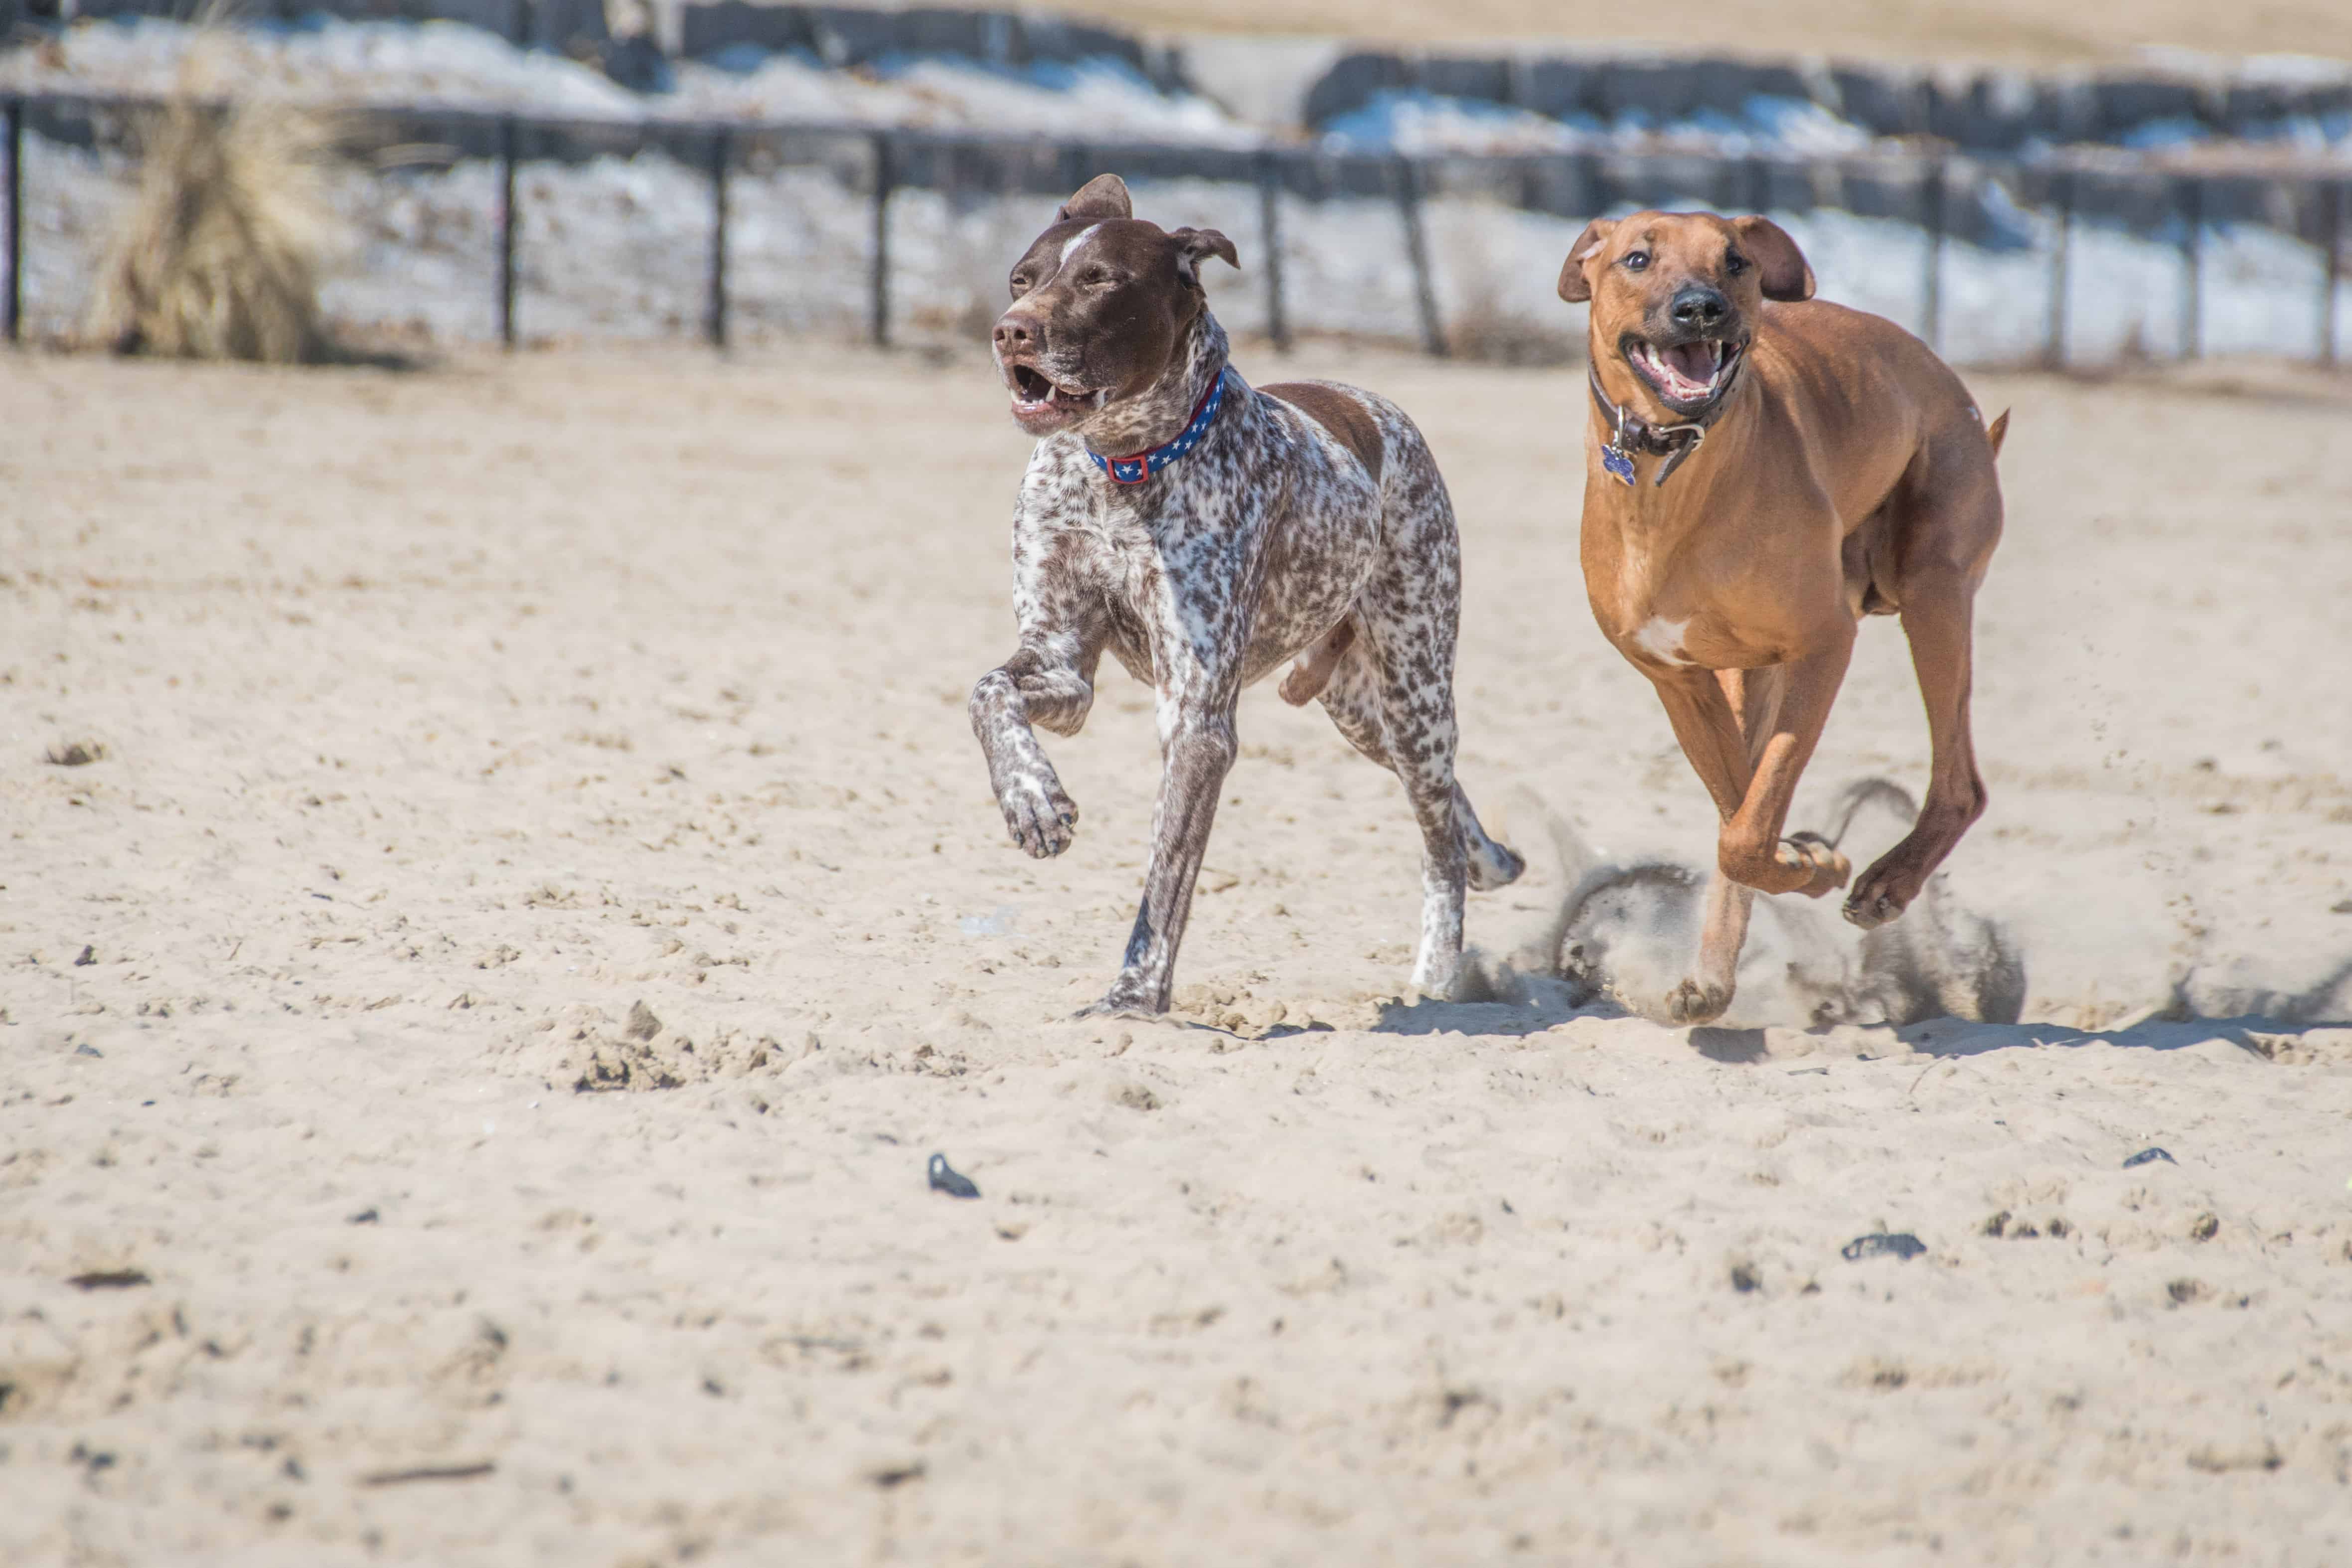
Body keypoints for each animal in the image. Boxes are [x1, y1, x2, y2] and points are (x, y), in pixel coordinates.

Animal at [969, 171, 1524, 1020]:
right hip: (1359, 712)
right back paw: (1486, 861)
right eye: (1020, 280)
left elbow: (1165, 880)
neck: (1122, 465)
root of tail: (1373, 403)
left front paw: (1135, 995)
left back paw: (1437, 973)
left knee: (1435, 839)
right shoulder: (1060, 666)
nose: (1010, 332)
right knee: (1446, 808)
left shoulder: (1195, 718)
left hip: (1415, 693)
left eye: (1098, 280)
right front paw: (1031, 800)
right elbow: (988, 692)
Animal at [1562, 215, 2004, 1025]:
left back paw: (1889, 882)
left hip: (1934, 592)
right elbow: (1741, 815)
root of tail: (1942, 375)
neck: (1670, 478)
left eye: (1734, 261)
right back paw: (1712, 977)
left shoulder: (1824, 643)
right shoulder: (1679, 681)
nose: (1701, 309)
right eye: (1636, 258)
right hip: (1753, 673)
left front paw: (1815, 860)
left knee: (1960, 781)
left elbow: (1747, 826)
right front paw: (1802, 860)